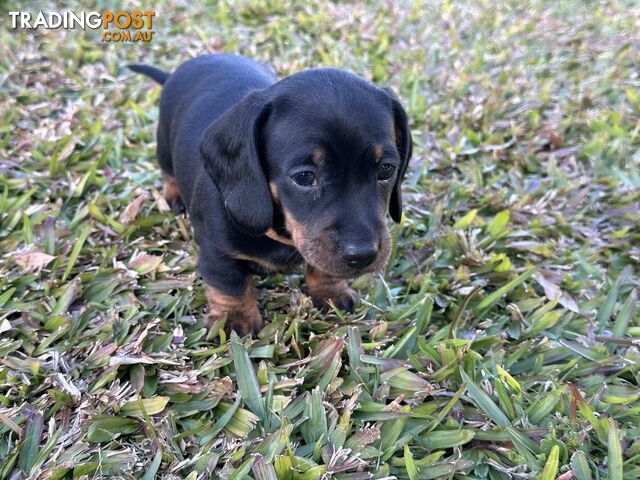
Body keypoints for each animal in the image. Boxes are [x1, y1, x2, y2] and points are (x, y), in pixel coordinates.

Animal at [130, 54, 412, 336]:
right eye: (304, 177)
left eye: (386, 170)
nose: (363, 255)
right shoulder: (216, 250)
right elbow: (229, 284)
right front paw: (234, 320)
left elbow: (323, 269)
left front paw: (330, 292)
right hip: (164, 145)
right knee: (167, 171)